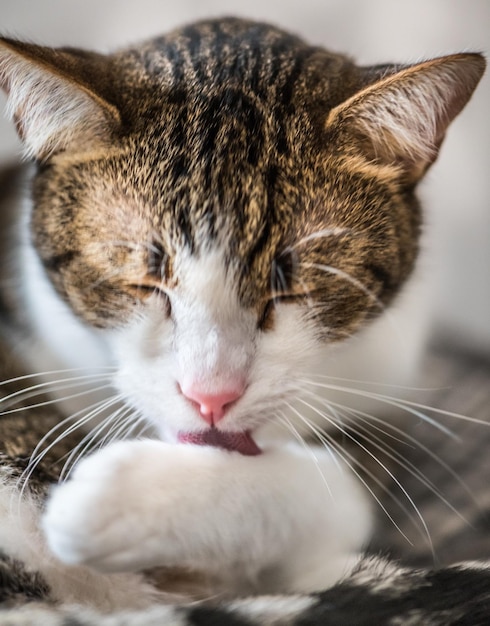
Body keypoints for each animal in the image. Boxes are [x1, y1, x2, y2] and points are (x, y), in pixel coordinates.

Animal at [0, 17, 486, 620]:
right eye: (142, 280)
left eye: (294, 286)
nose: (212, 396)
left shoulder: (384, 385)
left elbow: (338, 492)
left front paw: (125, 499)